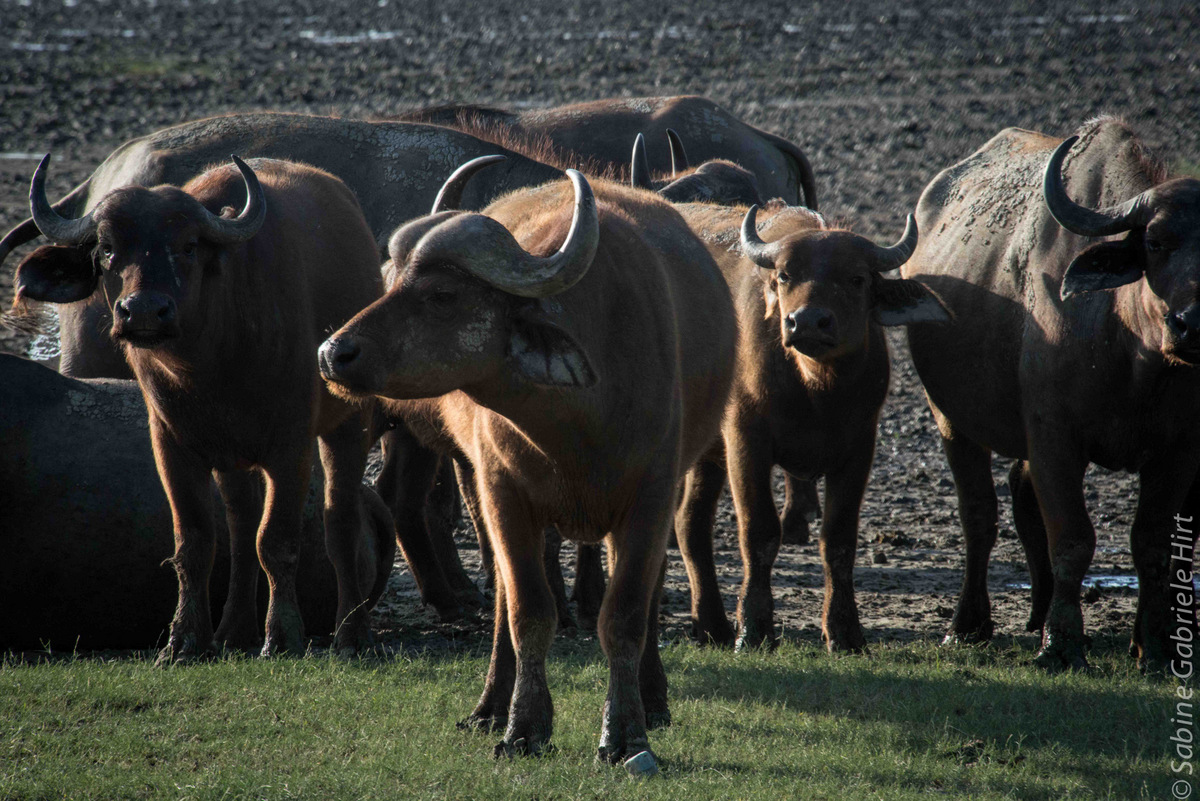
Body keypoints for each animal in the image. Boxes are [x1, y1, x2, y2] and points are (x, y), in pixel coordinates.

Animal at [319, 163, 737, 766]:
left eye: (442, 294)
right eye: (392, 278)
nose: (333, 353)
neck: (573, 427)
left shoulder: (652, 498)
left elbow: (625, 614)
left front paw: (626, 733)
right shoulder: (504, 494)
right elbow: (528, 612)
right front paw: (524, 726)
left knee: (650, 587)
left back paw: (654, 698)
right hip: (478, 485)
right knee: (501, 595)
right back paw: (491, 705)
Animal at [669, 200, 948, 650]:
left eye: (856, 278)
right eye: (785, 275)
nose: (807, 322)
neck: (816, 390)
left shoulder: (860, 448)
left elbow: (839, 539)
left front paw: (845, 631)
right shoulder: (745, 439)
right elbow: (760, 531)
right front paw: (754, 629)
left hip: (706, 455)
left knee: (689, 522)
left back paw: (712, 625)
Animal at [901, 117, 1200, 671]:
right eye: (1155, 242)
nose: (1191, 324)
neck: (1131, 354)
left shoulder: (1179, 452)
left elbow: (1153, 545)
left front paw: (1156, 646)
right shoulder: (1054, 439)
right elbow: (1073, 538)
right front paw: (1061, 645)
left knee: (1020, 498)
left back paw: (1040, 614)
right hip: (951, 419)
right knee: (980, 514)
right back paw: (968, 624)